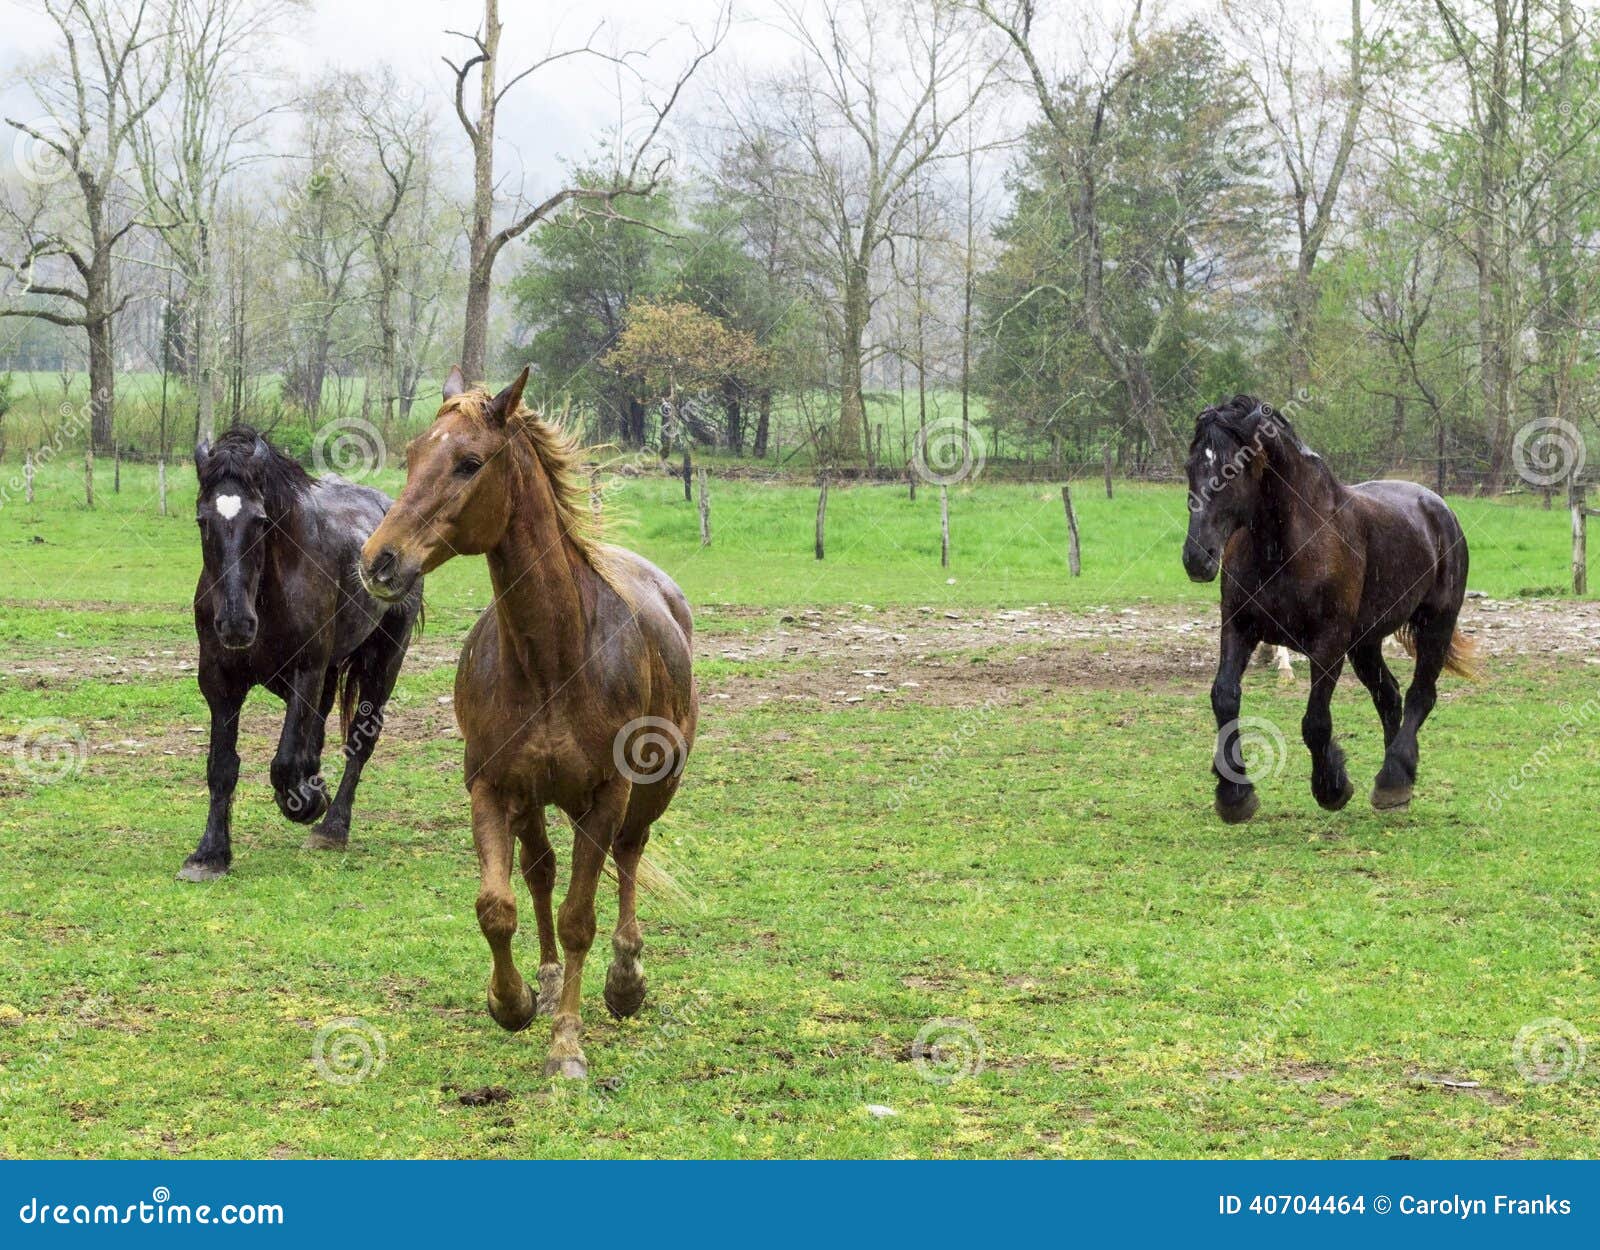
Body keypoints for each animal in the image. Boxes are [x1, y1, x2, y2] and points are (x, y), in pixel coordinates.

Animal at [179, 428, 422, 881]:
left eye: (260, 521)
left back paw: (332, 827)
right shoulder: (220, 681)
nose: (236, 624)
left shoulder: (305, 671)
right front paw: (209, 854)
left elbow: (285, 761)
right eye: (203, 521)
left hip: (384, 662)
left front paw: (309, 802)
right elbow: (223, 766)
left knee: (361, 741)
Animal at [359, 366, 698, 1081]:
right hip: (533, 799)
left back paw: (625, 979)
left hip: (651, 791)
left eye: (469, 463)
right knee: (539, 869)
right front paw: (511, 1001)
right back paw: (543, 981)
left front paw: (567, 1044)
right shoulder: (490, 786)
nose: (379, 561)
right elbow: (498, 905)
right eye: (412, 456)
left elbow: (579, 918)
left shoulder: (607, 797)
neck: (553, 657)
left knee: (629, 857)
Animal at [1182, 395, 1476, 823]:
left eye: (1232, 469)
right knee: (1389, 696)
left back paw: (1393, 779)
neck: (1286, 546)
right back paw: (1398, 780)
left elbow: (1316, 722)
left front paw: (1332, 788)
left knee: (1421, 695)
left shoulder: (1329, 643)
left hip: (1435, 624)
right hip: (1366, 643)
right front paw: (1234, 795)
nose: (1197, 558)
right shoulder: (1239, 627)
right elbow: (1224, 697)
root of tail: (1438, 507)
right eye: (1190, 467)